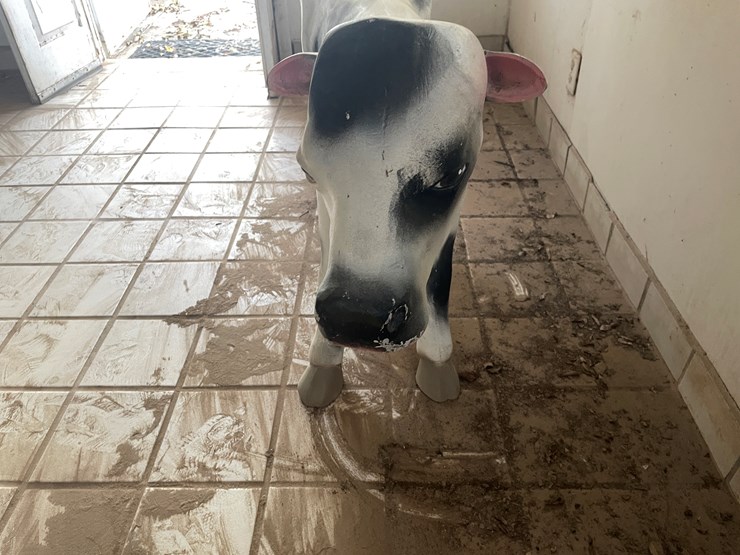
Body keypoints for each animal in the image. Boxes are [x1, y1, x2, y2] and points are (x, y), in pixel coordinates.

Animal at [267, 0, 546, 407]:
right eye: (307, 171)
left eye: (449, 176)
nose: (356, 318)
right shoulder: (325, 215)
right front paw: (322, 366)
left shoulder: (451, 217)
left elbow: (439, 279)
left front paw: (438, 363)